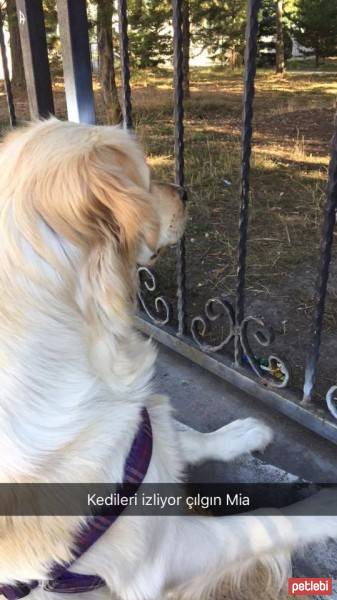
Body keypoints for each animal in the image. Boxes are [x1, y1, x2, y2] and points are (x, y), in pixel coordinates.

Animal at [0, 118, 334, 600]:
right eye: (144, 176)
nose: (185, 191)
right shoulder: (160, 557)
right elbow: (270, 521)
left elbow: (178, 435)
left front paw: (238, 434)